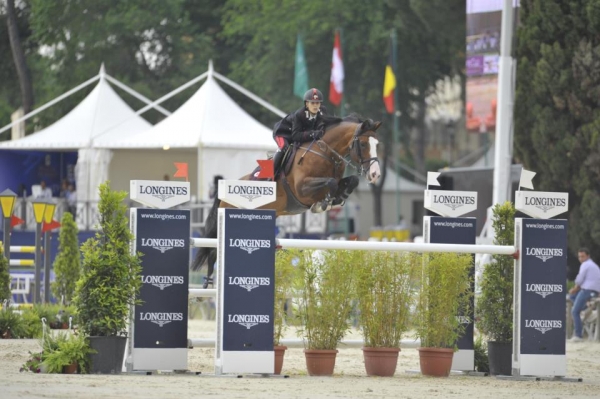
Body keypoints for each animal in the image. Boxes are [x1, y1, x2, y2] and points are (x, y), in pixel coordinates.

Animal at [192, 113, 382, 288]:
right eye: (363, 144)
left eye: (377, 145)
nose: (375, 175)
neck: (326, 153)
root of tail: (223, 193)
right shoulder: (302, 189)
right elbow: (331, 183)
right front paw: (323, 204)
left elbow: (351, 181)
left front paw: (336, 199)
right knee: (213, 250)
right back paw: (208, 283)